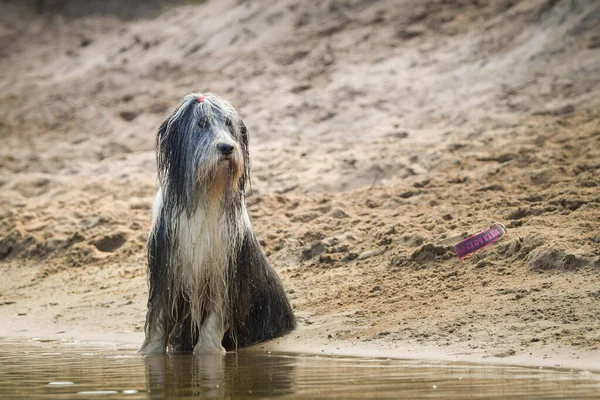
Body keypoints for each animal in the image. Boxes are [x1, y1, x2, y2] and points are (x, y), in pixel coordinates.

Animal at [141, 93, 296, 354]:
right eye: (202, 123)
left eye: (228, 123)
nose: (227, 148)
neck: (206, 195)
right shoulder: (166, 266)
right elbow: (159, 317)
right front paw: (149, 353)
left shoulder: (223, 266)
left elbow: (216, 312)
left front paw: (208, 351)